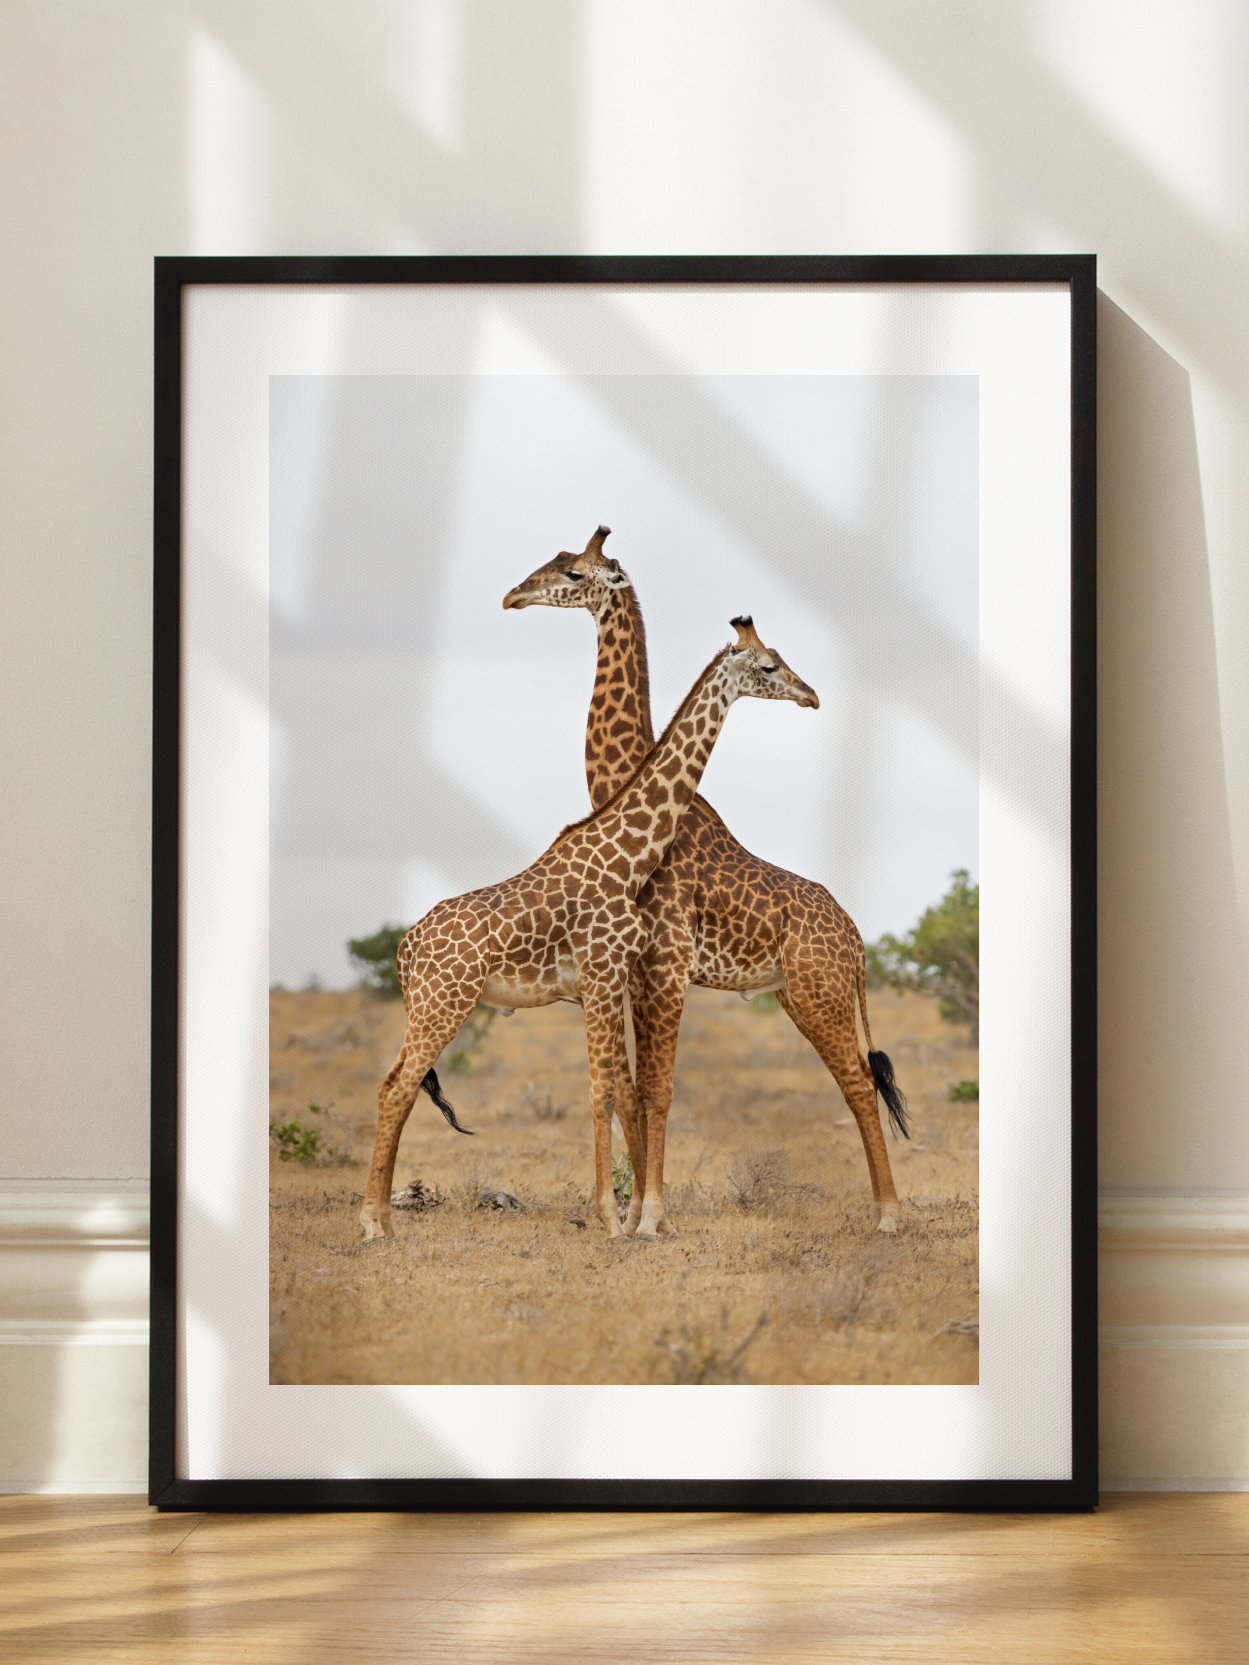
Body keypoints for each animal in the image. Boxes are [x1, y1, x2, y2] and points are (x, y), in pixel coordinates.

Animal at [359, 619, 818, 1241]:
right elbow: (603, 1094)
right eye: (769, 666)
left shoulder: (600, 985)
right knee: (397, 1087)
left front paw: (624, 1217)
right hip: (443, 1002)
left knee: (397, 1087)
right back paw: (374, 1223)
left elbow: (614, 1090)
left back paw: (382, 1218)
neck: (627, 858)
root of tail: (405, 949)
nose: (810, 695)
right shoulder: (601, 978)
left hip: (430, 1005)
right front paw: (611, 1220)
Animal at [503, 527, 909, 1238]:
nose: (513, 595)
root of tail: (857, 940)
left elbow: (655, 1089)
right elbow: (632, 1090)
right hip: (796, 997)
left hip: (821, 994)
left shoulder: (663, 964)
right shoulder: (633, 972)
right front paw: (639, 1212)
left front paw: (648, 1218)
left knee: (860, 1085)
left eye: (575, 573)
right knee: (856, 1082)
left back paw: (888, 1217)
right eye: (556, 564)